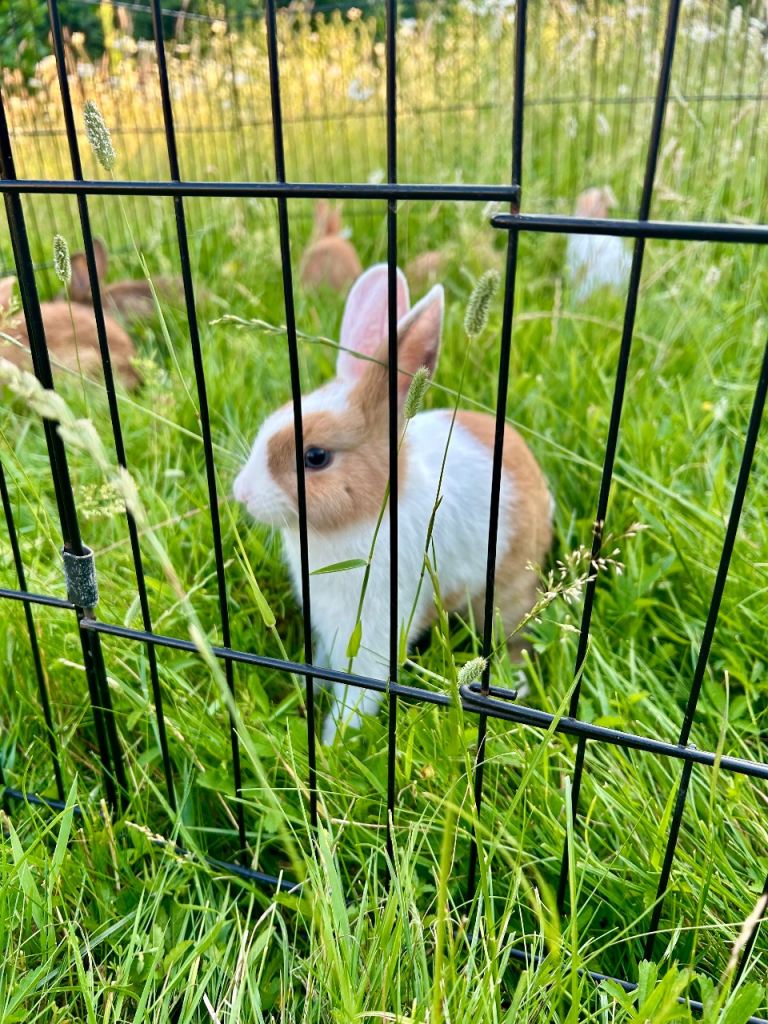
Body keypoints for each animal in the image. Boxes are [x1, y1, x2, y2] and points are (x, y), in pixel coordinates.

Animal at [234, 264, 552, 745]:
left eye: (315, 457)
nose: (241, 493)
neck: (366, 511)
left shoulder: (374, 630)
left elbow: (358, 692)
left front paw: (333, 745)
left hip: (506, 593)